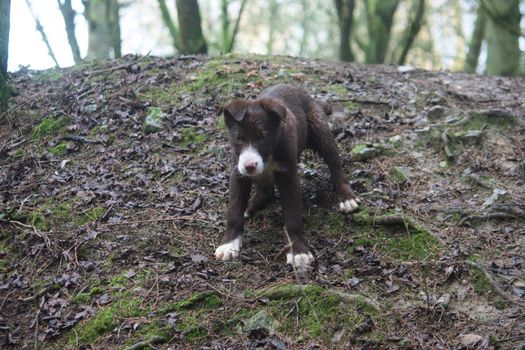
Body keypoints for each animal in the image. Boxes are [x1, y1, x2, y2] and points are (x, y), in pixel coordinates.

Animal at [215, 85, 358, 268]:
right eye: (238, 138)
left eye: (262, 137)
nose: (249, 166)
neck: (269, 154)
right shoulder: (238, 172)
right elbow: (234, 209)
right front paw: (229, 244)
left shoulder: (288, 175)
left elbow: (292, 214)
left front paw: (298, 250)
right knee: (266, 192)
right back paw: (251, 206)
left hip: (319, 129)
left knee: (336, 166)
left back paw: (347, 197)